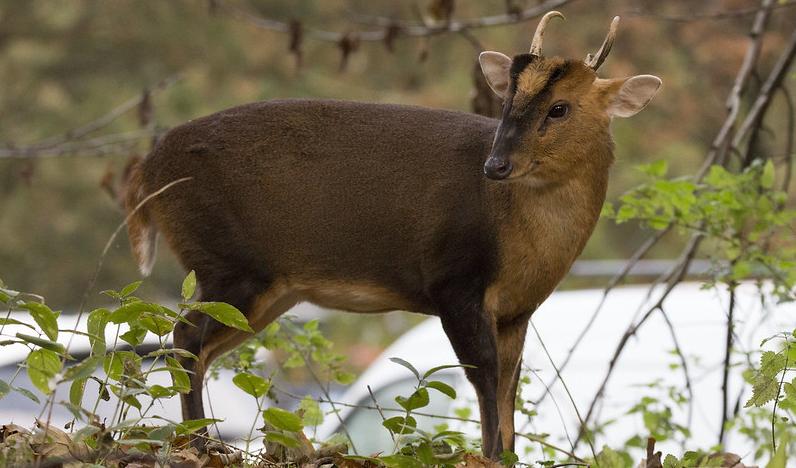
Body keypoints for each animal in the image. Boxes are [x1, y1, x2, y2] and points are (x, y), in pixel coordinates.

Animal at [123, 12, 661, 459]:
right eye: (507, 100)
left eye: (560, 108)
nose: (495, 165)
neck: (520, 237)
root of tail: (149, 170)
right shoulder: (452, 281)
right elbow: (483, 376)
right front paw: (488, 456)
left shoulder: (517, 309)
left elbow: (510, 383)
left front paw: (508, 454)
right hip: (227, 261)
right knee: (184, 337)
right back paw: (198, 444)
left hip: (267, 289)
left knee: (196, 347)